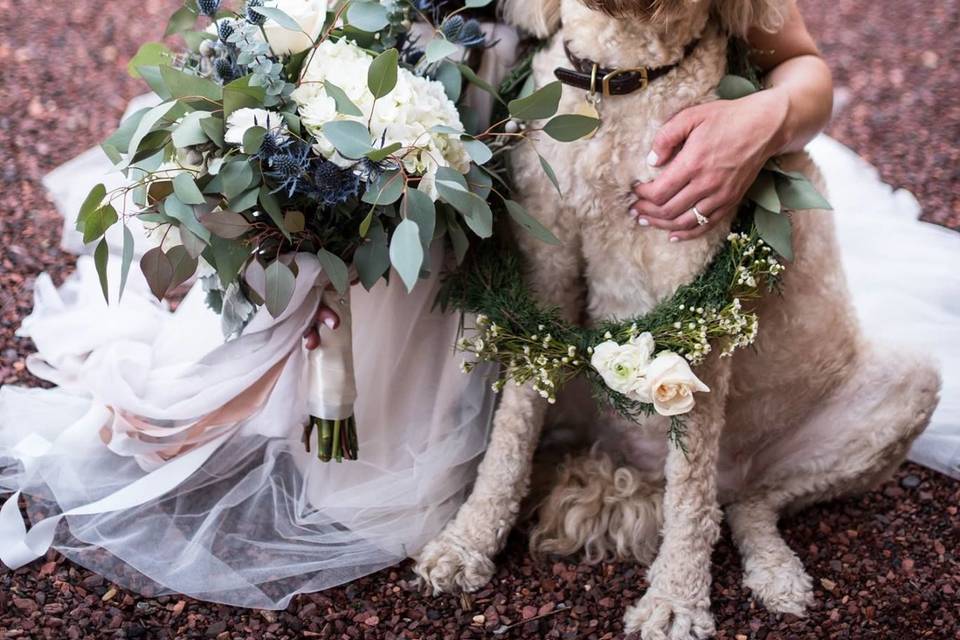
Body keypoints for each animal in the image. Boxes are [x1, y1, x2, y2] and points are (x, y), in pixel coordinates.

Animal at [412, 2, 936, 636]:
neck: (619, 81)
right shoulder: (545, 267)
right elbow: (512, 428)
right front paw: (467, 542)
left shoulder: (694, 297)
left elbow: (689, 485)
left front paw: (675, 601)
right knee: (733, 501)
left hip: (906, 386)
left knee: (742, 502)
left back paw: (777, 575)